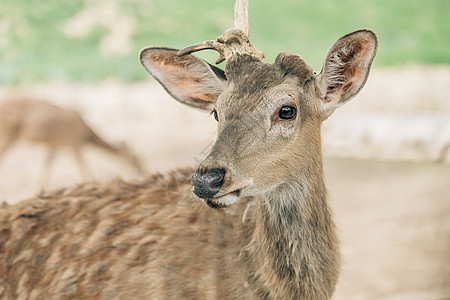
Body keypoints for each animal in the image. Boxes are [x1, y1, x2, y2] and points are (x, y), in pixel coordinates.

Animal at [0, 97, 144, 184]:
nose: (142, 170)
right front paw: (93, 182)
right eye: (135, 157)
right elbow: (83, 166)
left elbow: (48, 165)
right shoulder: (74, 142)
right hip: (8, 134)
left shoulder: (56, 144)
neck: (86, 134)